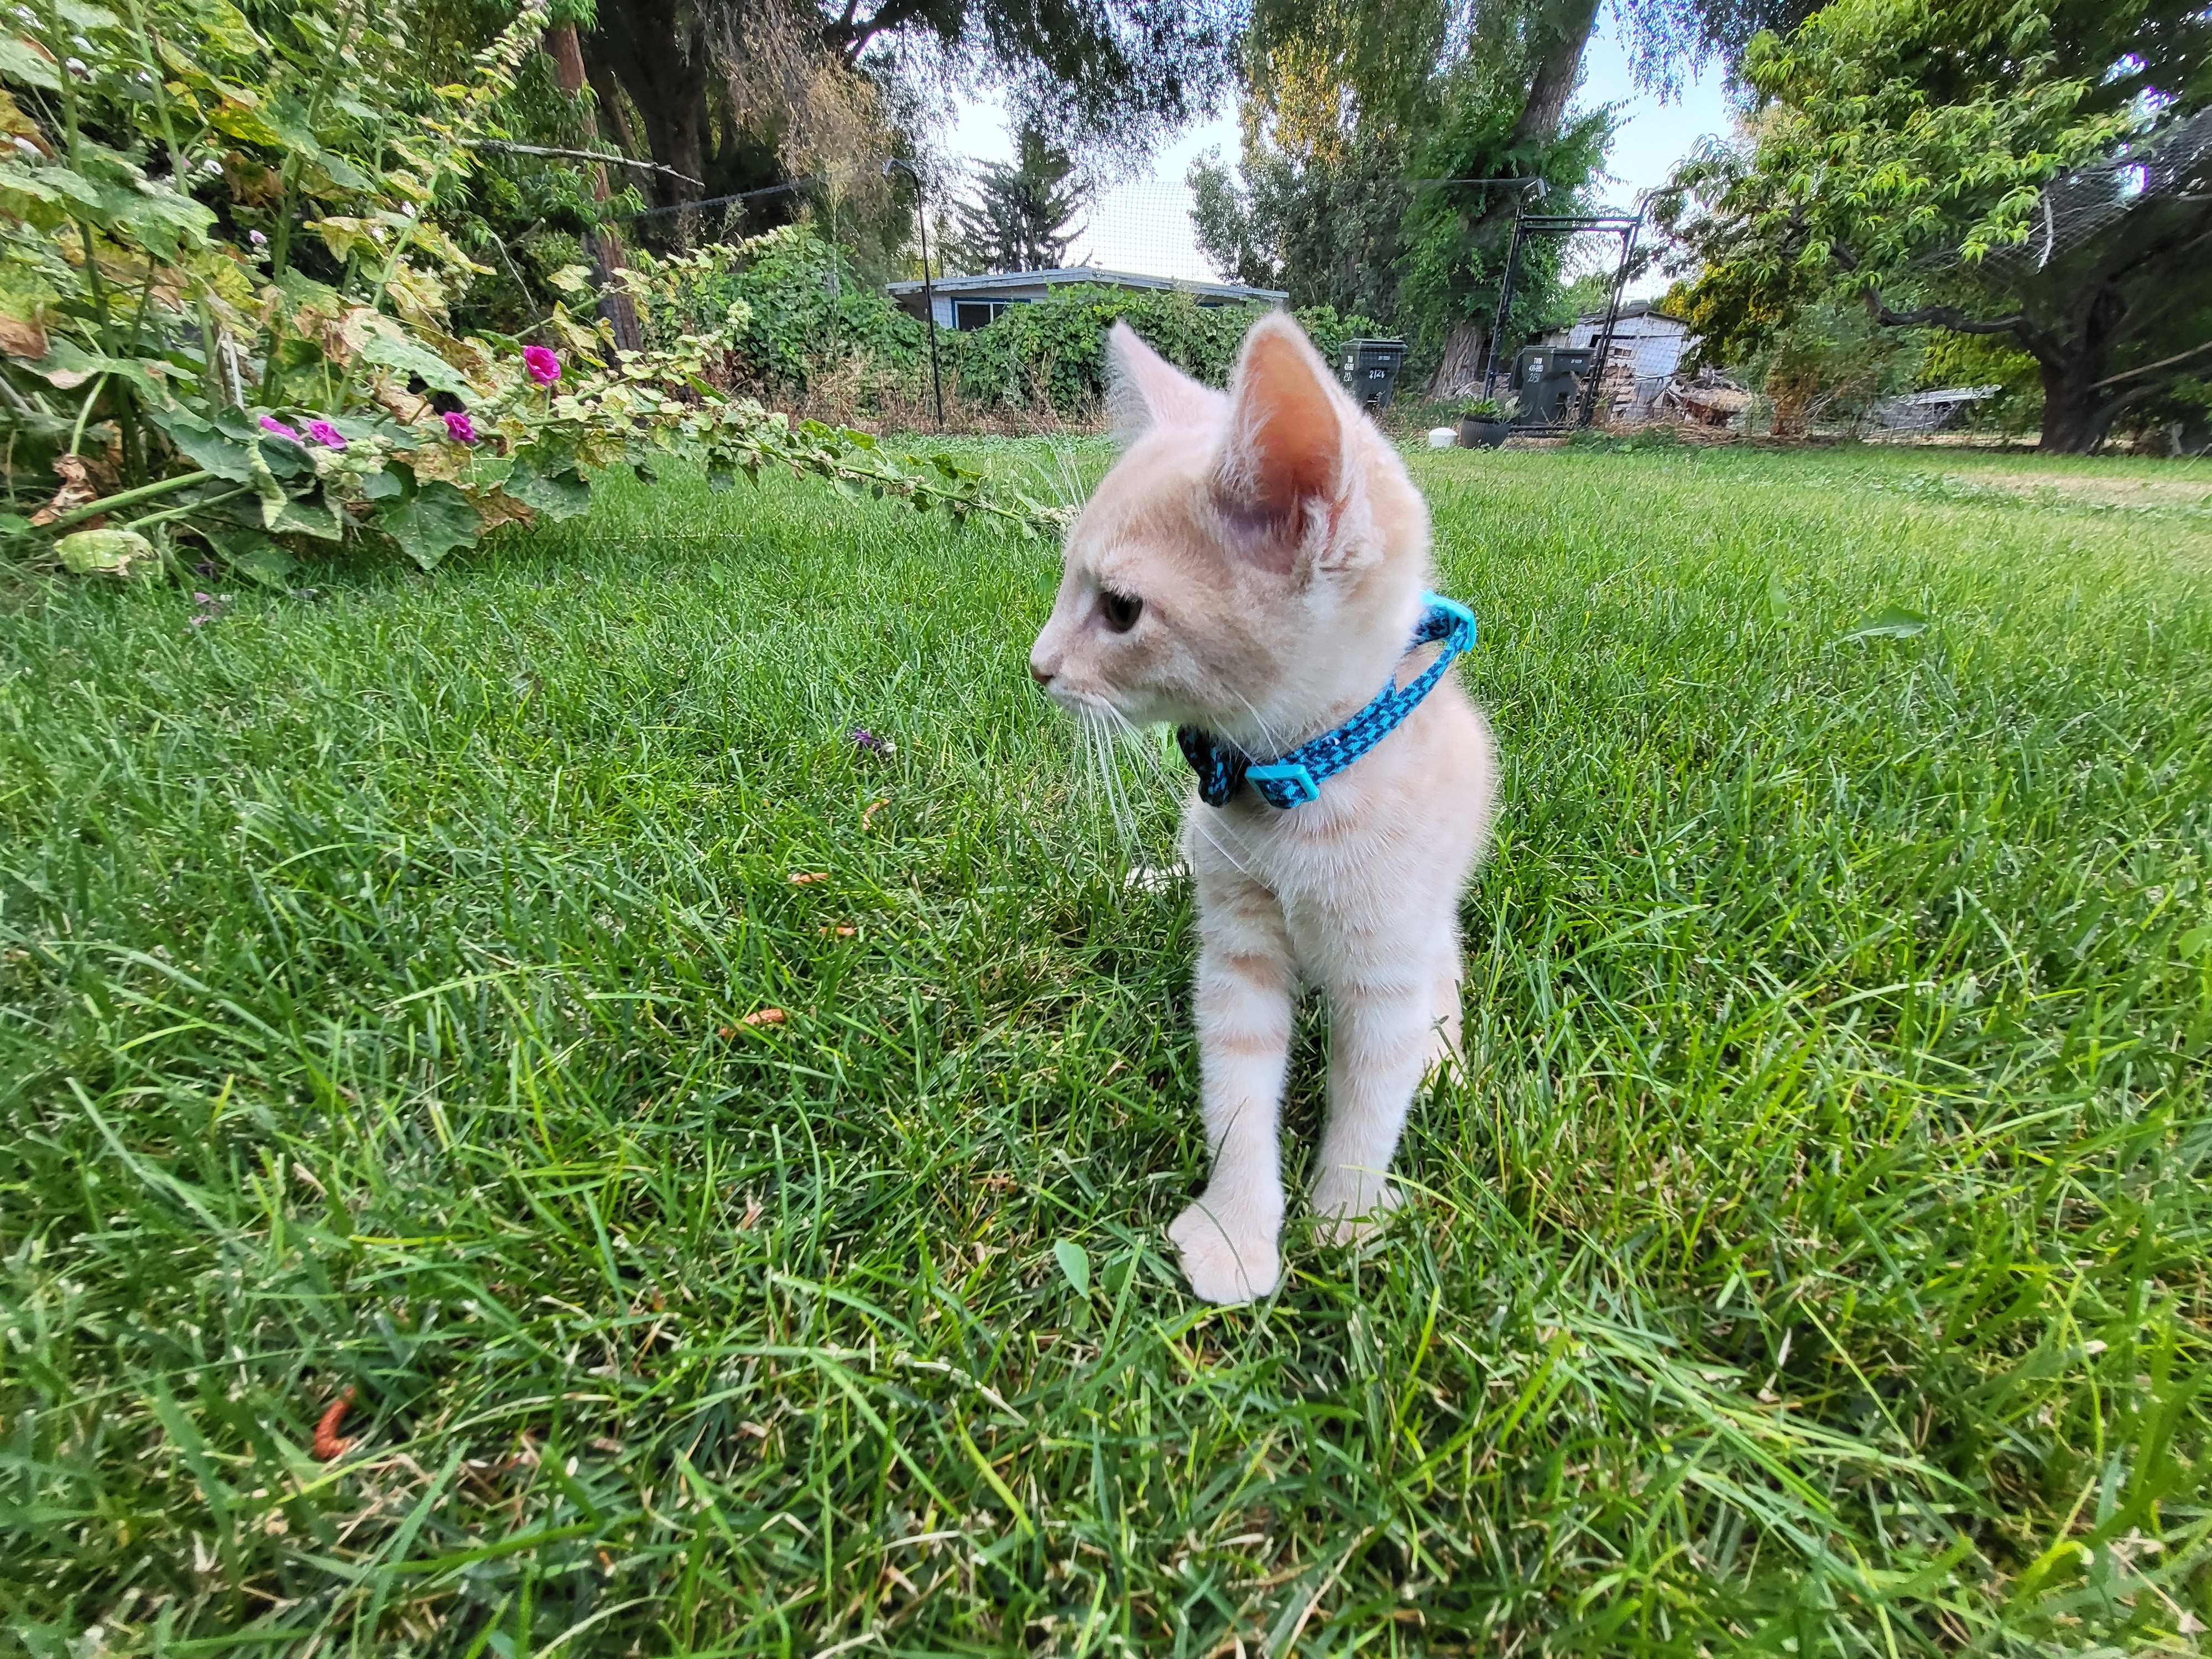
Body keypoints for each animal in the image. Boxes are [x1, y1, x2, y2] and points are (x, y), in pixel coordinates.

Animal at [1026, 310, 1495, 1301]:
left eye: (1119, 609)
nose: (1038, 667)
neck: (1293, 792)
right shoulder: (1236, 948)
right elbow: (1238, 1087)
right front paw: (1239, 1230)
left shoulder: (1387, 965)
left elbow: (1372, 1102)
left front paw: (1346, 1222)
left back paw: (1447, 1056)